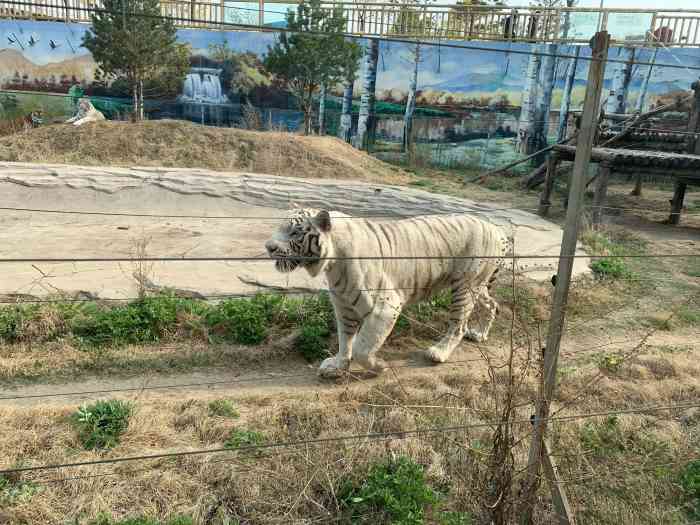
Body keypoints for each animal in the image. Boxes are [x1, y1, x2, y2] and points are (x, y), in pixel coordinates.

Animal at [266, 208, 512, 376]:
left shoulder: (385, 306)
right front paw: (337, 365)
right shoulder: (344, 307)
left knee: (458, 324)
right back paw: (479, 334)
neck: (332, 263)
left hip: (465, 285)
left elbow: (362, 347)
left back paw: (438, 352)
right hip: (477, 285)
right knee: (493, 304)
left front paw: (379, 366)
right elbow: (345, 340)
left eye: (295, 232)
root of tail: (496, 228)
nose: (268, 247)